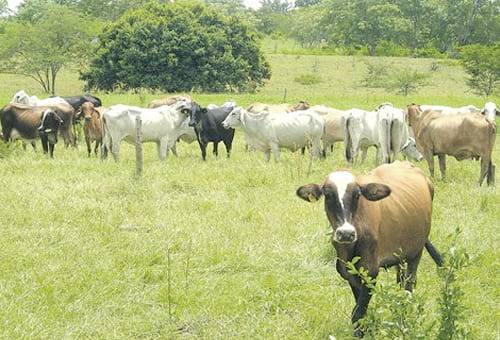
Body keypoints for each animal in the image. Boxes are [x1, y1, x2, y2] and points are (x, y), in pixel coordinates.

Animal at [294, 162, 444, 338]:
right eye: (328, 195)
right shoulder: (348, 272)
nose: (346, 233)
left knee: (408, 287)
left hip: (415, 253)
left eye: (357, 195)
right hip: (400, 258)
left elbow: (358, 312)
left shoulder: (370, 270)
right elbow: (359, 308)